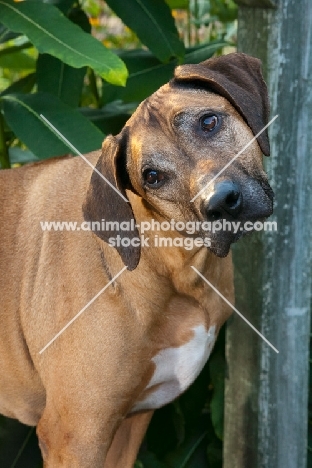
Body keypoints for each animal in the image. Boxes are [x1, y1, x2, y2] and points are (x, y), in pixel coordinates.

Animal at [0, 53, 272, 466]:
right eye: (153, 176)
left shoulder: (131, 421)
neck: (175, 270)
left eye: (209, 122)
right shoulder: (75, 436)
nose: (222, 202)